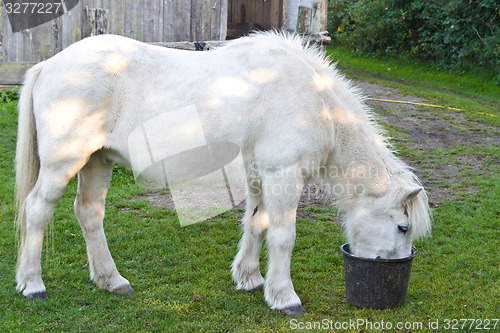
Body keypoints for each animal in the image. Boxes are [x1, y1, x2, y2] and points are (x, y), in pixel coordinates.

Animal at [15, 31, 430, 314]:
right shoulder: (284, 175)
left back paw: (111, 281)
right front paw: (285, 297)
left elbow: (257, 224)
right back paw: (32, 284)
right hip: (64, 162)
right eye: (402, 227)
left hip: (98, 161)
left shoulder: (260, 175)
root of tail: (49, 65)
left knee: (89, 213)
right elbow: (283, 236)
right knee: (37, 211)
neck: (314, 99)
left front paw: (250, 279)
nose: (393, 272)